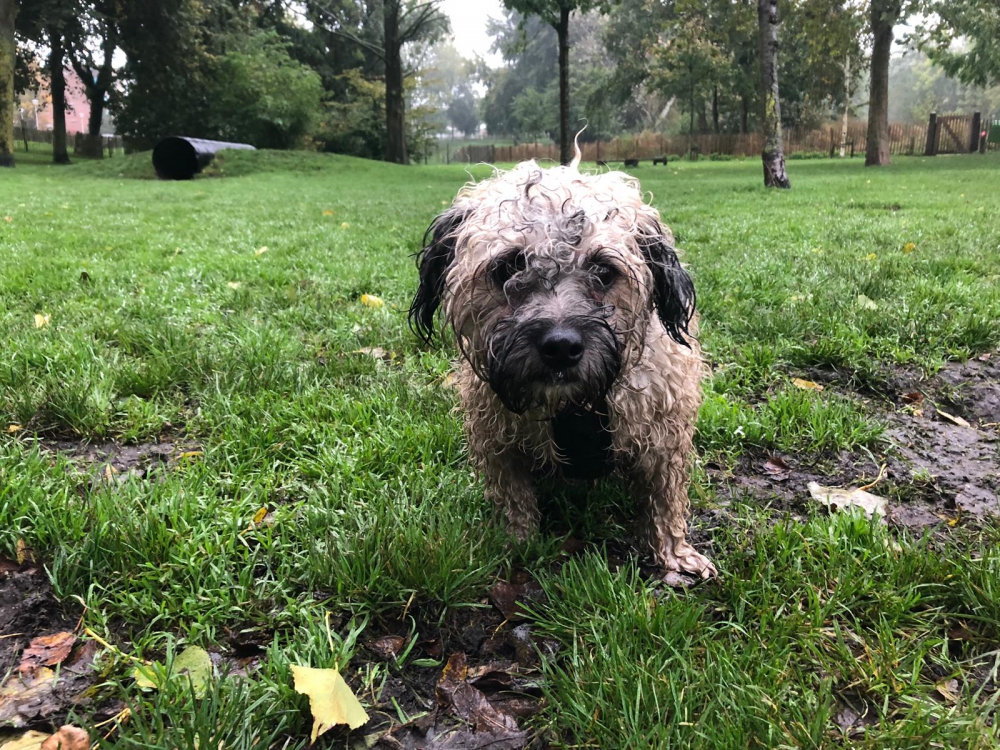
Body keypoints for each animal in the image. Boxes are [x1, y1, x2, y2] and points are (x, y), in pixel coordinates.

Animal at [410, 159, 716, 580]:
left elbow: (664, 498)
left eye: (603, 271)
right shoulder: (497, 440)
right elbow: (513, 496)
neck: (575, 406)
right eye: (508, 267)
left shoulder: (665, 437)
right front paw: (517, 539)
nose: (561, 347)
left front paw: (673, 552)